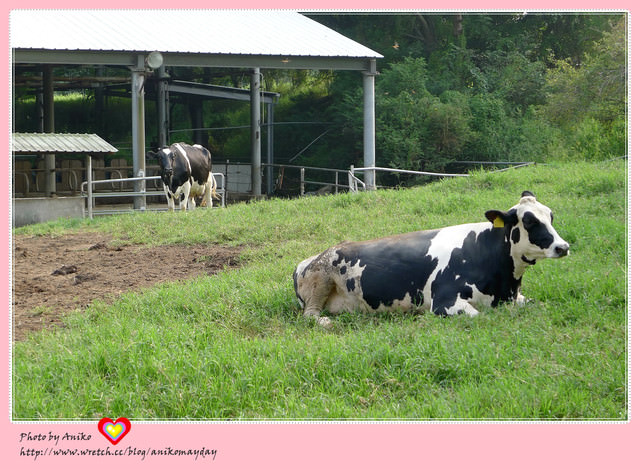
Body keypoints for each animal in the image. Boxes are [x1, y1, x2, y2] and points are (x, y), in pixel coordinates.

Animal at [296, 190, 568, 326]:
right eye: (529, 221)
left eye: (551, 216)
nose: (562, 247)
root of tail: (311, 258)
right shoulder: (445, 302)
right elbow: (477, 316)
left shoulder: (517, 298)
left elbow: (540, 304)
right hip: (322, 279)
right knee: (310, 315)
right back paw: (325, 321)